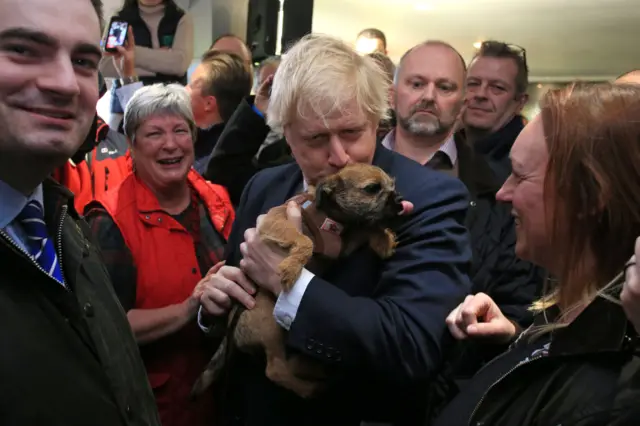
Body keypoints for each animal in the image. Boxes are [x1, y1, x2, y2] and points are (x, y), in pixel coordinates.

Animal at [191, 163, 404, 400]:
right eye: (372, 188)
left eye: (392, 186)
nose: (400, 201)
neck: (331, 218)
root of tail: (232, 329)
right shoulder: (275, 222)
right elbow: (304, 240)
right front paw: (292, 267)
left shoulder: (342, 247)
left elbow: (366, 229)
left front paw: (383, 240)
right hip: (269, 322)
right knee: (276, 369)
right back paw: (311, 388)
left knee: (286, 364)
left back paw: (313, 368)